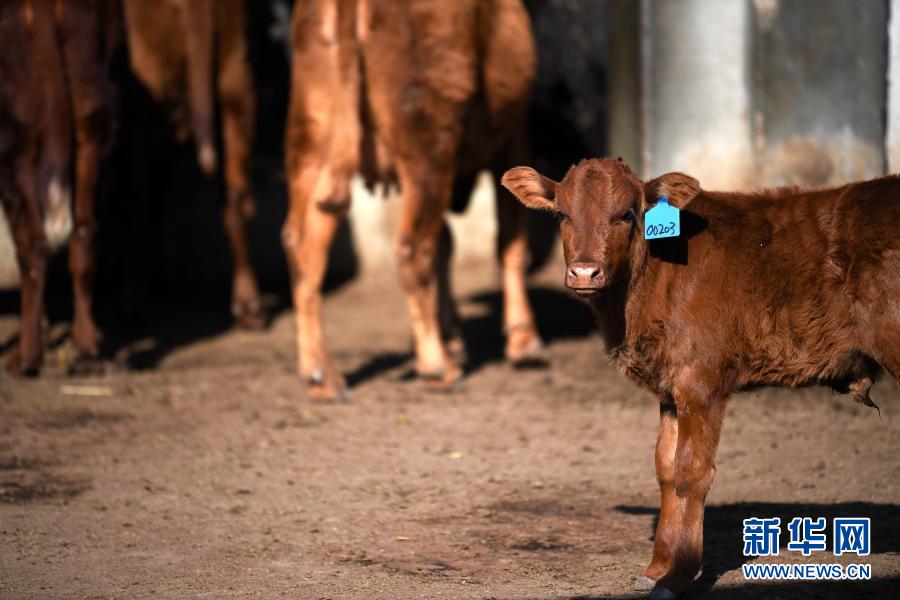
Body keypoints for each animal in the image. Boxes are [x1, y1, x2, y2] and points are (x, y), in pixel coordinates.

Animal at [0, 0, 118, 375]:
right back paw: (85, 349)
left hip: (16, 134)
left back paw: (25, 356)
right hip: (93, 118)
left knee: (33, 246)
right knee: (84, 233)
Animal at [120, 0, 265, 328]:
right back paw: (248, 305)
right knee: (236, 199)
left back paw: (132, 306)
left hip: (139, 101)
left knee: (135, 208)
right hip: (237, 82)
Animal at [284, 0, 545, 401]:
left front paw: (452, 332)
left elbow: (446, 243)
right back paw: (438, 368)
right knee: (412, 247)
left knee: (304, 247)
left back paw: (322, 375)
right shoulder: (514, 136)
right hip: (428, 140)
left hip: (312, 140)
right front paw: (523, 340)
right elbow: (509, 242)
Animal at [502, 157, 899, 599]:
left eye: (627, 214)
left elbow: (692, 471)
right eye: (562, 215)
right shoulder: (670, 387)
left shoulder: (701, 380)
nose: (585, 272)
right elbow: (666, 468)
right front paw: (657, 567)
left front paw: (678, 575)